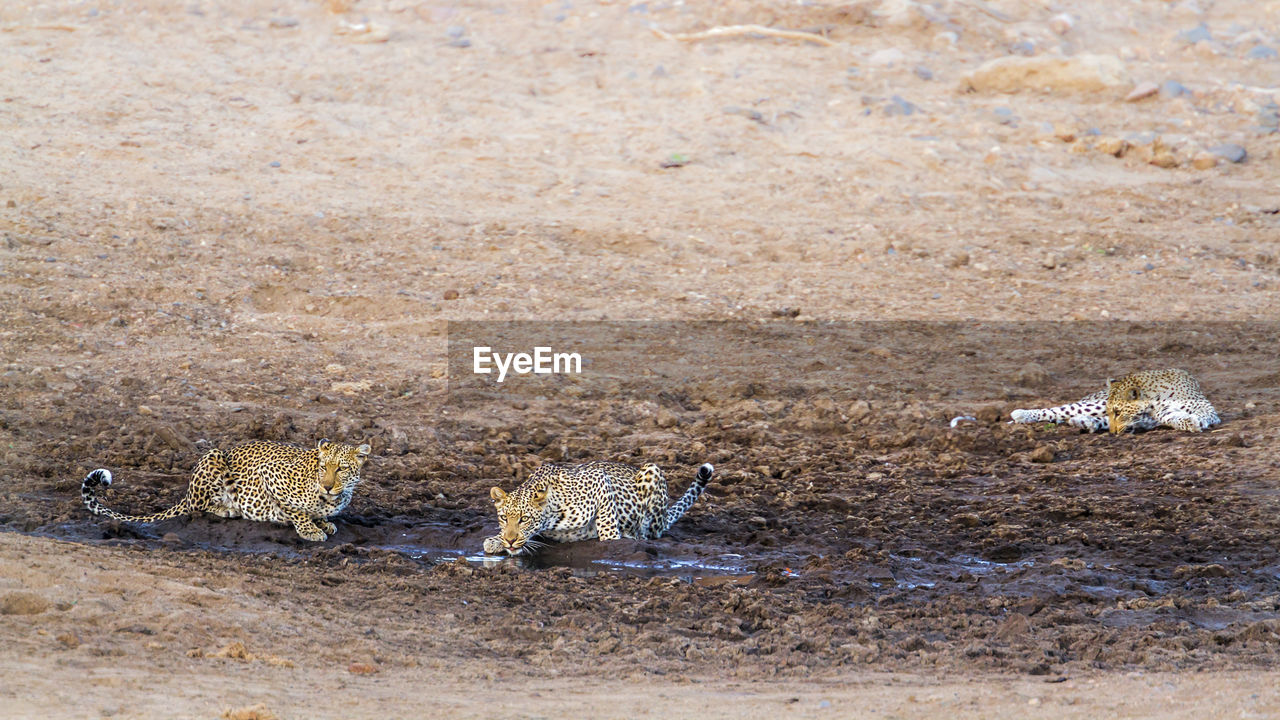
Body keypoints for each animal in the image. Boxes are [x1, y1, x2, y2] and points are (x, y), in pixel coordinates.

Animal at [80, 438, 371, 538]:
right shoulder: (269, 472)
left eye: (341, 469)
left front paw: (323, 523)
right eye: (324, 467)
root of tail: (186, 493)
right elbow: (294, 509)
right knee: (197, 506)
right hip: (214, 455)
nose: (328, 486)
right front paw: (310, 529)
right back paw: (226, 509)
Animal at [481, 458, 716, 556]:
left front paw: (611, 538)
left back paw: (636, 533)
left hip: (652, 471)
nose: (511, 541)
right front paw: (495, 540)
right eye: (503, 518)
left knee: (653, 530)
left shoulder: (600, 480)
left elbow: (606, 519)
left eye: (524, 519)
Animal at [1008, 368, 1218, 430]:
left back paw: (1085, 422)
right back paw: (1022, 414)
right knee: (1066, 409)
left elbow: (1195, 415)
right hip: (1097, 403)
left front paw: (1193, 422)